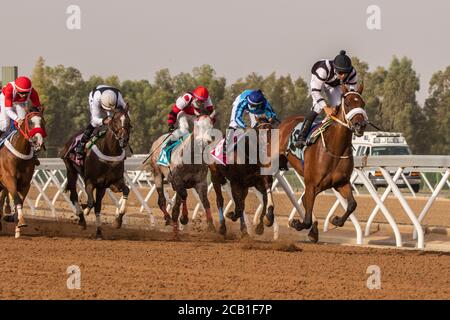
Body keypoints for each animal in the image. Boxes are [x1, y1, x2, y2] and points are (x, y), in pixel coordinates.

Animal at [0, 110, 46, 238]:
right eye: (30, 122)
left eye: (43, 122)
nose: (38, 141)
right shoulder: (9, 179)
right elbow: (16, 198)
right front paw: (20, 221)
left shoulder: (25, 183)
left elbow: (20, 200)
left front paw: (17, 226)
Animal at [61, 106, 132, 239]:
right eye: (115, 120)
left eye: (129, 122)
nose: (123, 140)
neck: (109, 152)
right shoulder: (90, 182)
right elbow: (90, 202)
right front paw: (84, 211)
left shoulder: (112, 183)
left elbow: (126, 190)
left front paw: (118, 221)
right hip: (71, 170)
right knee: (74, 195)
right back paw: (81, 219)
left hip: (101, 187)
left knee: (97, 205)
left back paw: (98, 231)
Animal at [280, 84, 368, 241]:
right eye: (347, 104)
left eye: (362, 104)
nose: (360, 125)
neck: (335, 150)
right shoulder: (311, 185)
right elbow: (307, 219)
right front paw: (295, 223)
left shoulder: (341, 183)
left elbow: (352, 204)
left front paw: (336, 220)